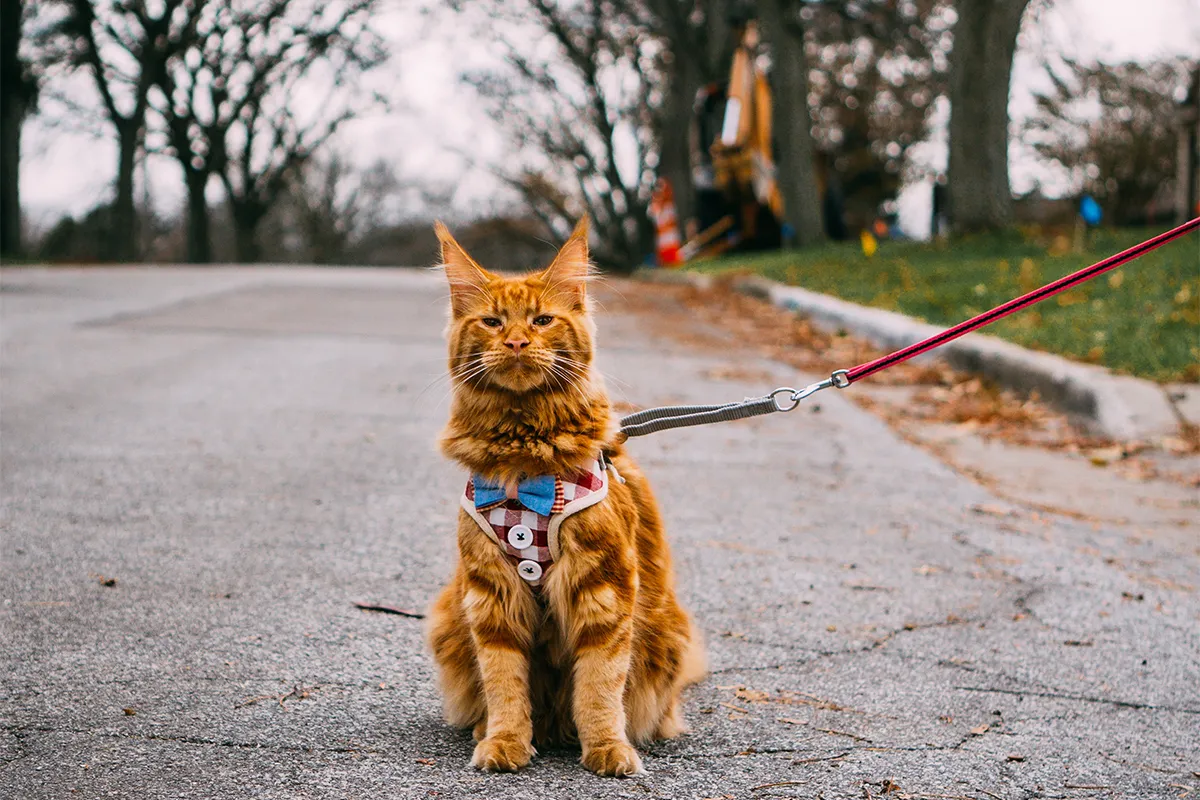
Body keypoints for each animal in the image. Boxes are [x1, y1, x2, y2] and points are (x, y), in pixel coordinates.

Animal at [427, 217, 700, 777]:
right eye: (492, 322)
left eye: (542, 320)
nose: (515, 342)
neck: (524, 455)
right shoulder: (491, 594)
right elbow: (504, 683)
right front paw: (506, 741)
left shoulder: (604, 588)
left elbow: (599, 685)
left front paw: (607, 749)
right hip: (451, 616)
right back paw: (493, 730)